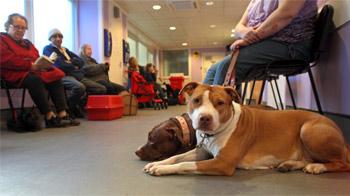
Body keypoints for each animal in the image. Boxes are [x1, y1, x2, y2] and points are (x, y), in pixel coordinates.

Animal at [143, 82, 350, 176]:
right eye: (196, 100)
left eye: (220, 103)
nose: (205, 118)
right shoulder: (203, 152)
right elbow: (178, 156)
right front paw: (158, 163)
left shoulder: (222, 163)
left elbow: (185, 164)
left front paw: (162, 169)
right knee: (307, 158)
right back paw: (289, 164)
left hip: (308, 129)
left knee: (343, 163)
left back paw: (318, 166)